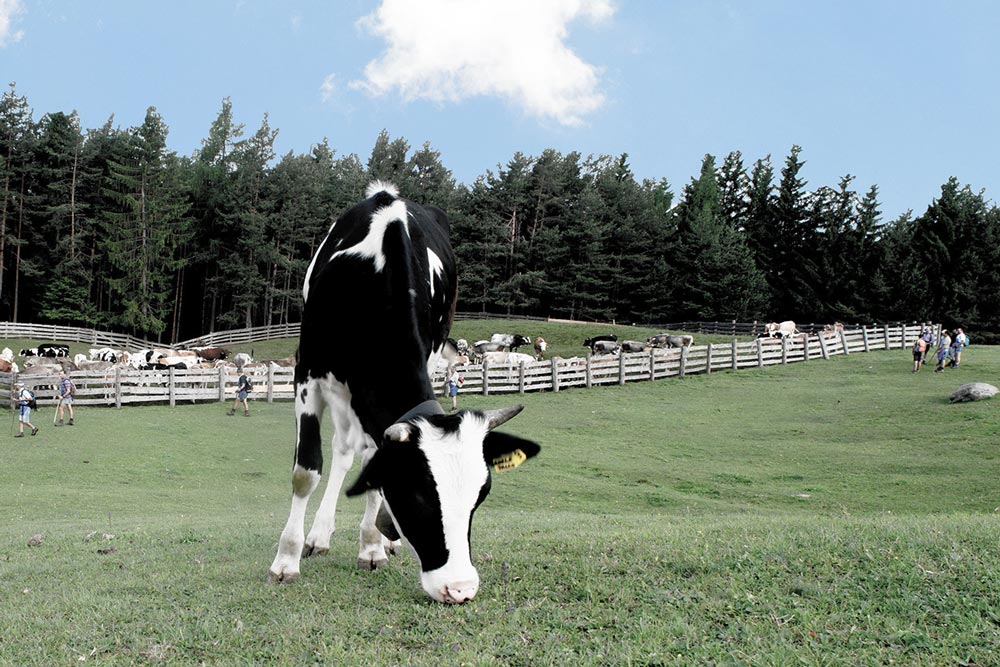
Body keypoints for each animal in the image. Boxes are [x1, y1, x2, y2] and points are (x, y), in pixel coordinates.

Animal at [266, 183, 544, 604]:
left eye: (480, 496)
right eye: (418, 497)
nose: (460, 589)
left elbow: (371, 463)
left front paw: (371, 547)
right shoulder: (307, 372)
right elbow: (305, 471)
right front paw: (286, 561)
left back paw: (380, 540)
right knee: (341, 452)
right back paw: (319, 536)